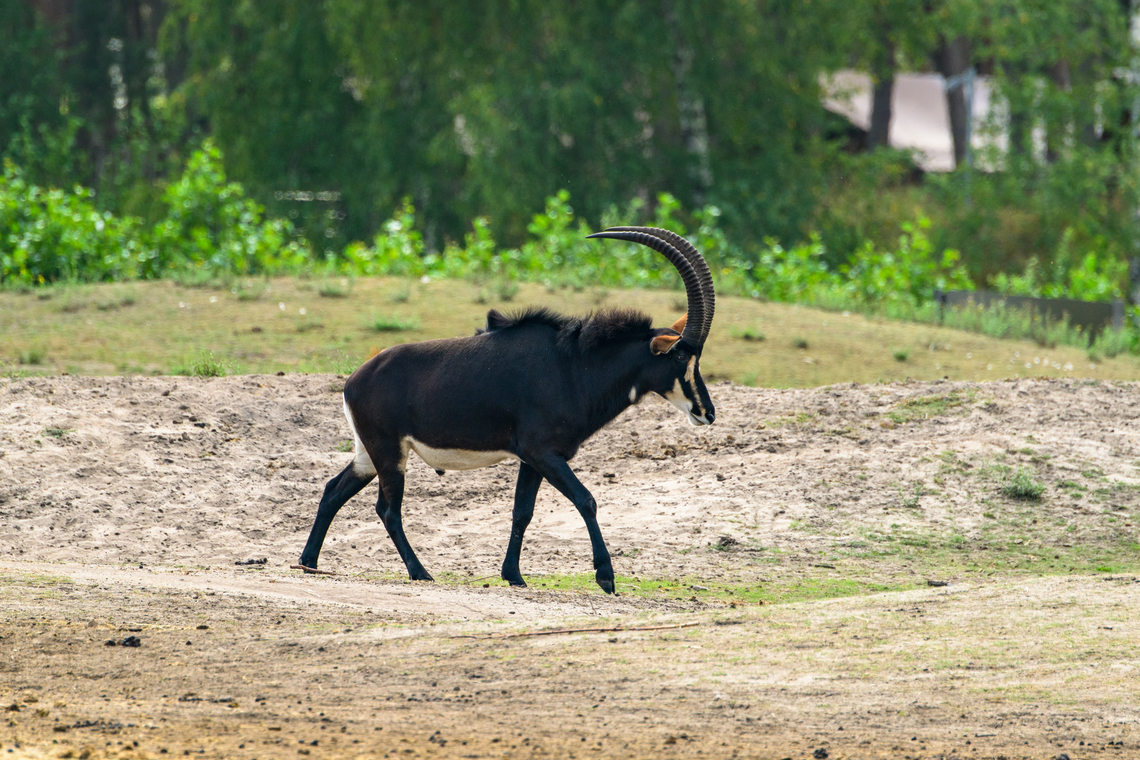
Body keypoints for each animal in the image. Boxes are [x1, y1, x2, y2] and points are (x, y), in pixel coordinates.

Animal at [297, 227, 716, 593]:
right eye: (681, 356)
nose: (707, 412)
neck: (574, 366)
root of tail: (354, 381)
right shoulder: (543, 452)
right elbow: (586, 499)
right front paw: (605, 577)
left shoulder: (533, 460)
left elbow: (522, 512)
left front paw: (513, 575)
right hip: (389, 454)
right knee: (387, 509)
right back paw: (420, 572)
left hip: (369, 455)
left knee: (334, 490)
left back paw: (309, 562)